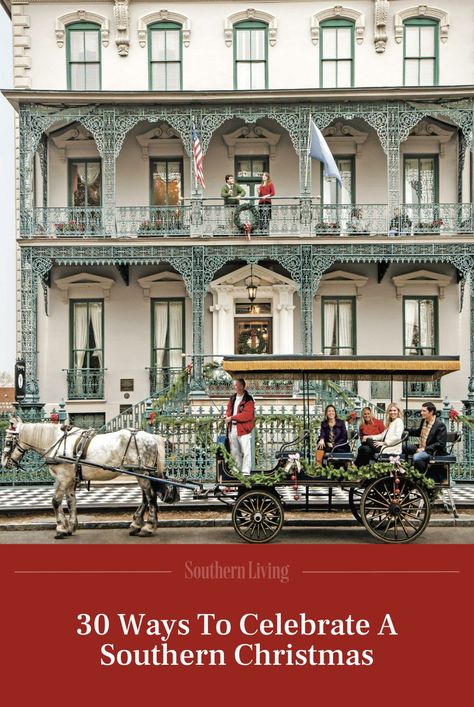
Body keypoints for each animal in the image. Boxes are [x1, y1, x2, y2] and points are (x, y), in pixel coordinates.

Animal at [0, 418, 179, 540]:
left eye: (8, 441)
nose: (4, 463)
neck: (58, 442)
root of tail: (153, 437)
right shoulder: (69, 479)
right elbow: (71, 501)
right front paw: (71, 526)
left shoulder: (63, 478)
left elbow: (56, 501)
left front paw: (60, 528)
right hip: (140, 473)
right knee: (146, 498)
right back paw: (136, 524)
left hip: (142, 473)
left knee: (151, 497)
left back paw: (148, 527)